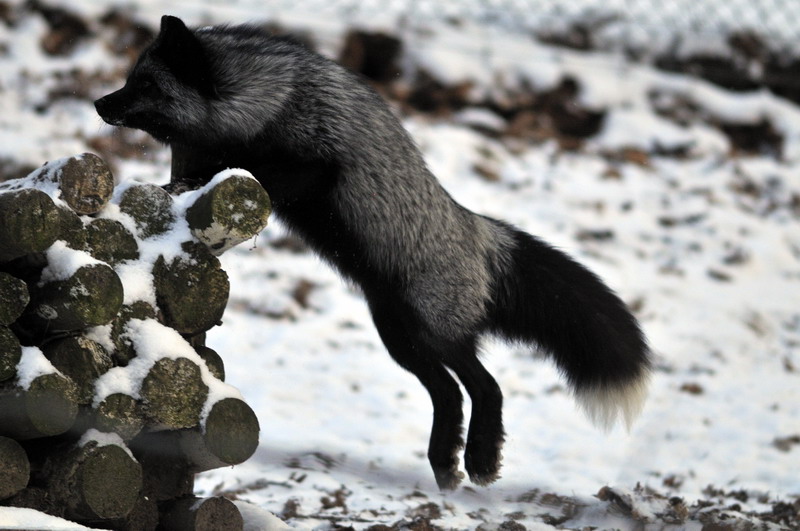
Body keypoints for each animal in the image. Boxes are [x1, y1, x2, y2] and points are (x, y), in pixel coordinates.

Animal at [95, 15, 652, 490]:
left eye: (147, 85)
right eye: (131, 79)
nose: (100, 104)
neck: (269, 99)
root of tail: (477, 231)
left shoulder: (313, 165)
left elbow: (251, 172)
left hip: (433, 329)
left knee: (486, 386)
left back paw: (480, 459)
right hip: (400, 338)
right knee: (449, 393)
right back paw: (445, 464)